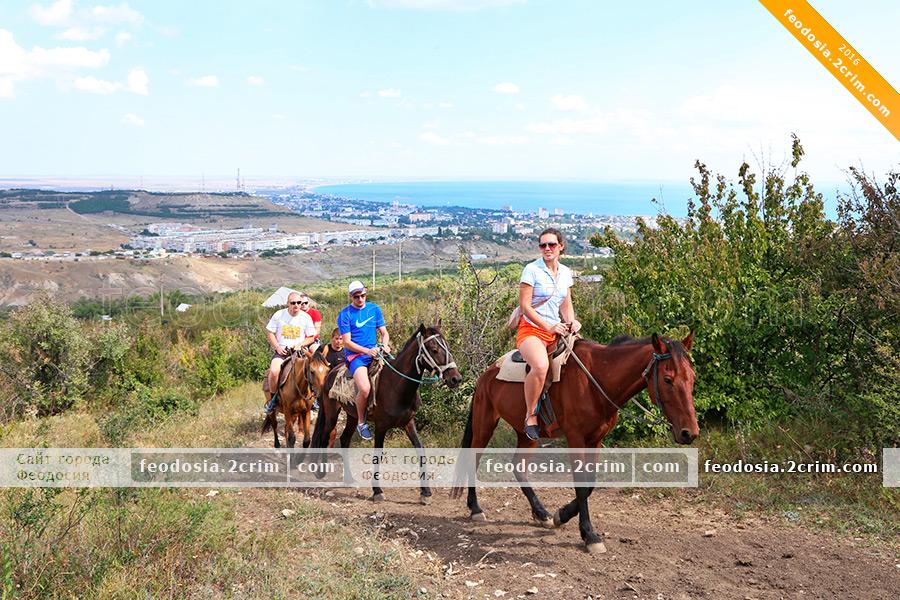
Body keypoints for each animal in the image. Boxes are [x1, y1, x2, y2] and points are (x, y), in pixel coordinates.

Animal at [312, 324, 464, 502]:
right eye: (434, 349)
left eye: (447, 347)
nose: (456, 378)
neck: (396, 385)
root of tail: (330, 373)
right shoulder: (381, 426)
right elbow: (378, 454)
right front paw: (377, 491)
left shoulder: (408, 423)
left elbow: (420, 449)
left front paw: (425, 492)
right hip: (331, 413)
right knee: (324, 436)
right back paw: (320, 472)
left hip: (352, 416)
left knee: (344, 439)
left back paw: (349, 479)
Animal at [454, 332, 700, 552]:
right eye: (668, 379)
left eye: (693, 377)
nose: (690, 433)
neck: (597, 380)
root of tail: (486, 374)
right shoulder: (575, 438)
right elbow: (581, 485)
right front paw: (589, 535)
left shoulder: (596, 440)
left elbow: (590, 484)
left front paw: (561, 515)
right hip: (485, 424)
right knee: (474, 461)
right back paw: (476, 509)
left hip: (526, 434)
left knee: (518, 467)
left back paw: (541, 513)